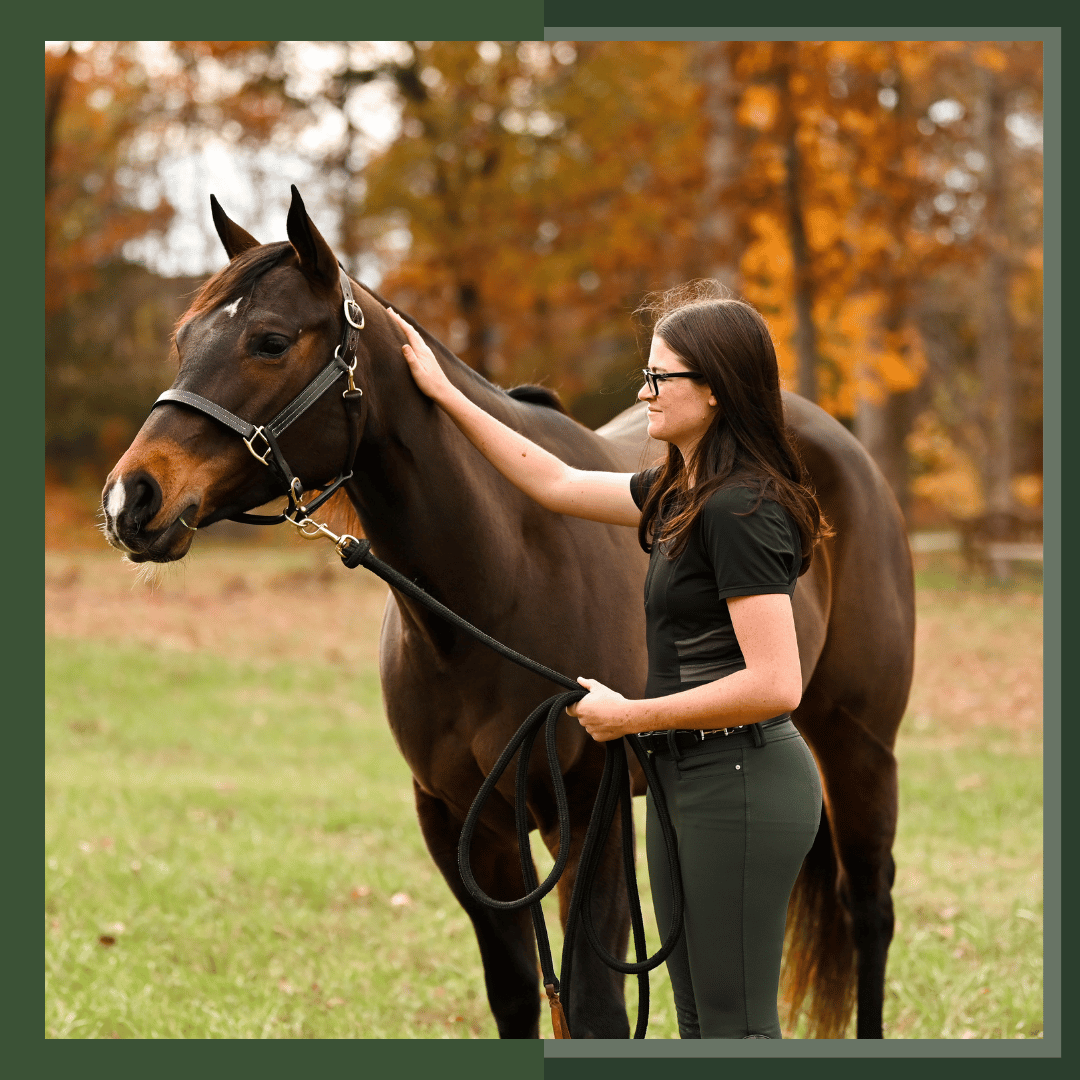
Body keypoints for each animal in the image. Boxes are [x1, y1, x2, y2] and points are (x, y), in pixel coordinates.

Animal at [101, 187, 911, 1036]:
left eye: (270, 341)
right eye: (184, 339)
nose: (132, 499)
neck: (494, 588)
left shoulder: (590, 813)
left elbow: (592, 1004)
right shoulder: (460, 822)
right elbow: (520, 992)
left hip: (858, 743)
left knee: (868, 907)